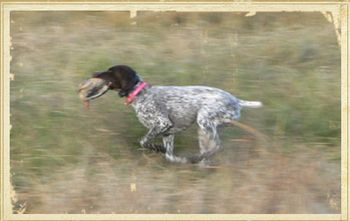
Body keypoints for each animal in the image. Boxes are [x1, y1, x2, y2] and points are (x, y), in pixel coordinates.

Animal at [78, 64, 262, 163]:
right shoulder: (168, 133)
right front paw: (175, 158)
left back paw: (198, 158)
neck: (140, 93)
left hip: (204, 121)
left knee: (216, 146)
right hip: (205, 130)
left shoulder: (162, 123)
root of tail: (236, 100)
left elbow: (144, 141)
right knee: (209, 149)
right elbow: (169, 155)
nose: (94, 74)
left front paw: (157, 149)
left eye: (110, 71)